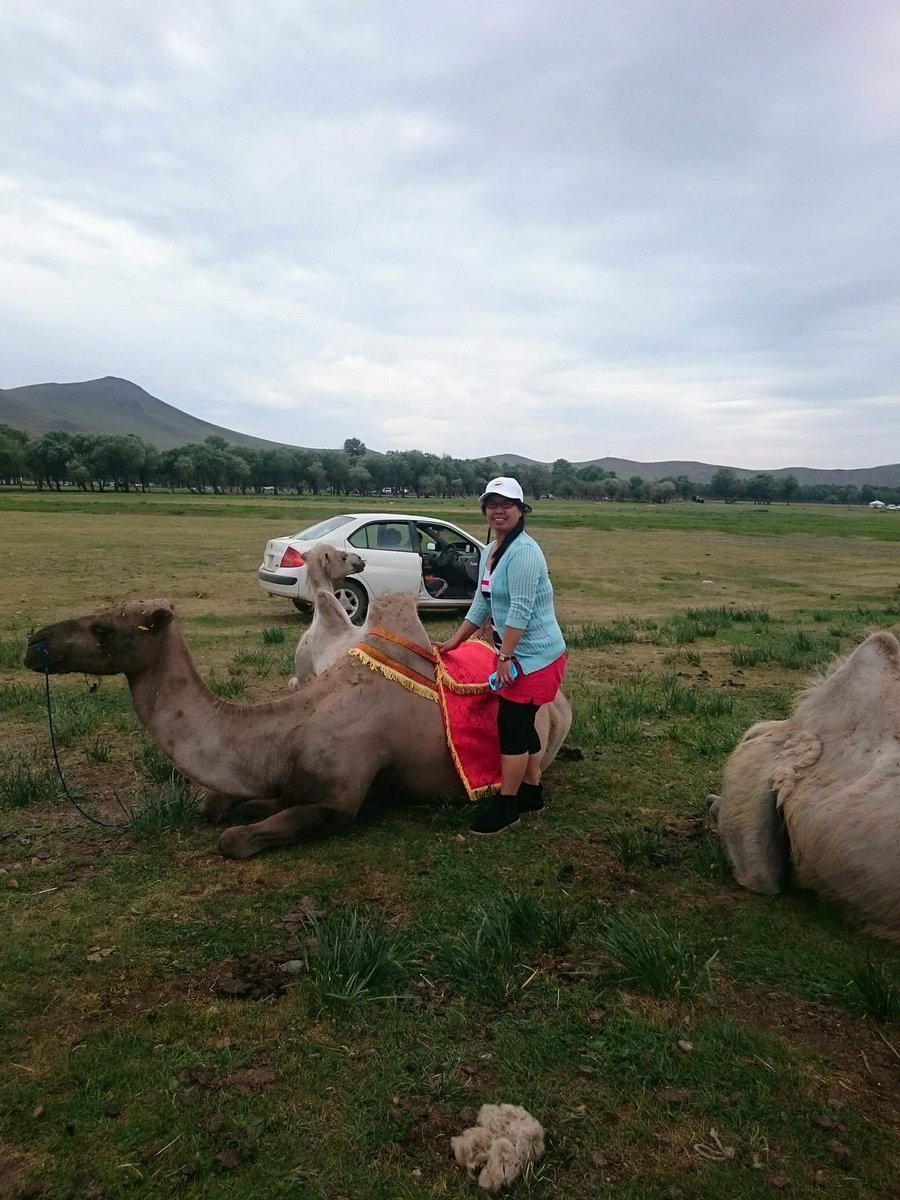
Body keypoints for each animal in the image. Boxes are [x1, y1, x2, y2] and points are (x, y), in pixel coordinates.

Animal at [24, 595, 572, 860]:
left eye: (102, 628)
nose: (34, 642)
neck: (282, 734)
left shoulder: (337, 802)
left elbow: (234, 839)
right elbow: (216, 806)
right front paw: (241, 806)